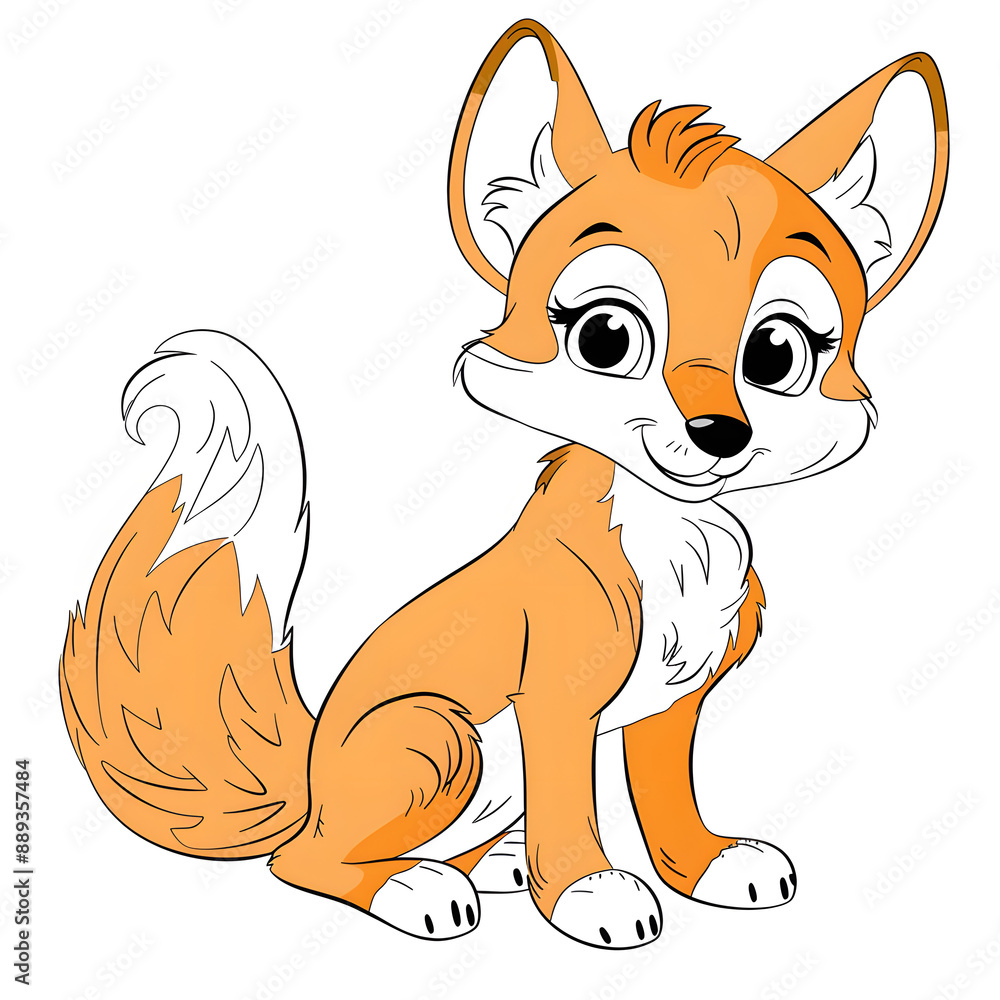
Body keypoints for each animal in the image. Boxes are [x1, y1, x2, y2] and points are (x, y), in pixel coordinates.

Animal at [60, 20, 948, 949]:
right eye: (605, 337)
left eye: (776, 353)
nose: (720, 434)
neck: (672, 547)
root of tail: (307, 775)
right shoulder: (555, 701)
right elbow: (573, 814)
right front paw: (589, 892)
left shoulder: (672, 707)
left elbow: (667, 806)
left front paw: (702, 867)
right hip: (439, 736)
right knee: (305, 862)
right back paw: (415, 889)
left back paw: (489, 867)